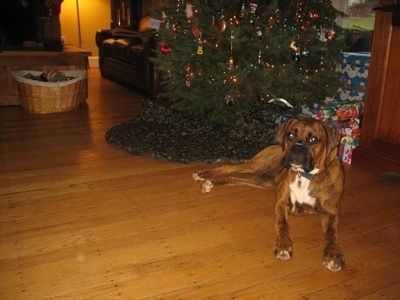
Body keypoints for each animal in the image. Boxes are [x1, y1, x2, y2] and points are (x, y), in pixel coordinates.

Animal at [193, 118, 344, 272]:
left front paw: (333, 256)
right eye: (290, 135)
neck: (305, 176)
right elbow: (282, 225)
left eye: (313, 139)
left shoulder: (331, 213)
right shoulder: (281, 204)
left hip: (263, 181)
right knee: (230, 167)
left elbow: (332, 234)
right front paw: (283, 247)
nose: (297, 148)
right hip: (258, 165)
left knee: (235, 178)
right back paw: (204, 174)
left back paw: (210, 183)